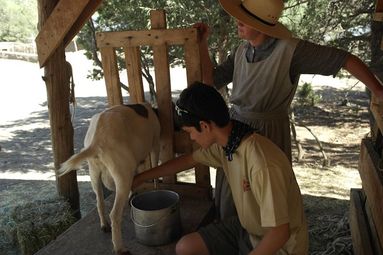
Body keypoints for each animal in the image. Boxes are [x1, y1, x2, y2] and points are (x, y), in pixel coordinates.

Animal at [57, 103, 160, 255]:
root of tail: (97, 140)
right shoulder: (155, 145)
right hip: (123, 174)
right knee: (115, 215)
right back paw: (120, 248)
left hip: (94, 173)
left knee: (100, 202)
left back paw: (104, 225)